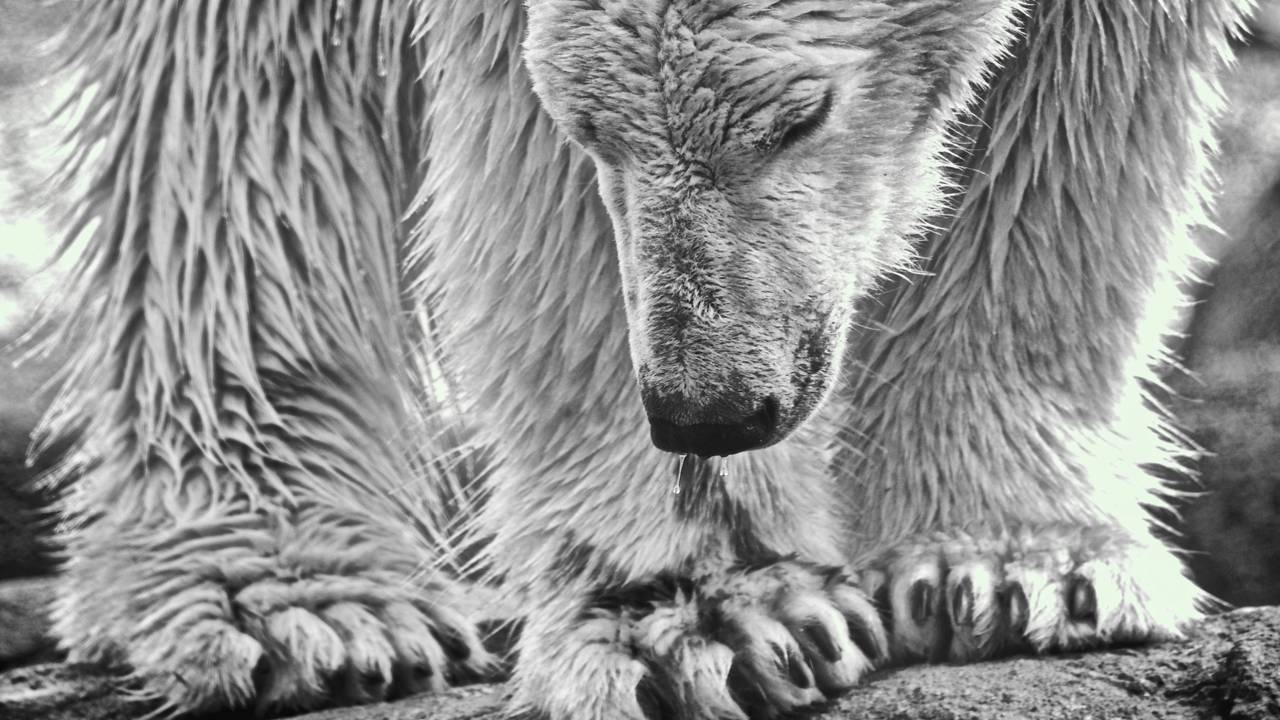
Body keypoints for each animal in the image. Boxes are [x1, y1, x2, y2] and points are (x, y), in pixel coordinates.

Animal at [41, 0, 1248, 718]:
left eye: (800, 116)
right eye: (587, 126)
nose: (708, 409)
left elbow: (1068, 125)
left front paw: (1006, 573)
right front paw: (714, 617)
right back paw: (296, 606)